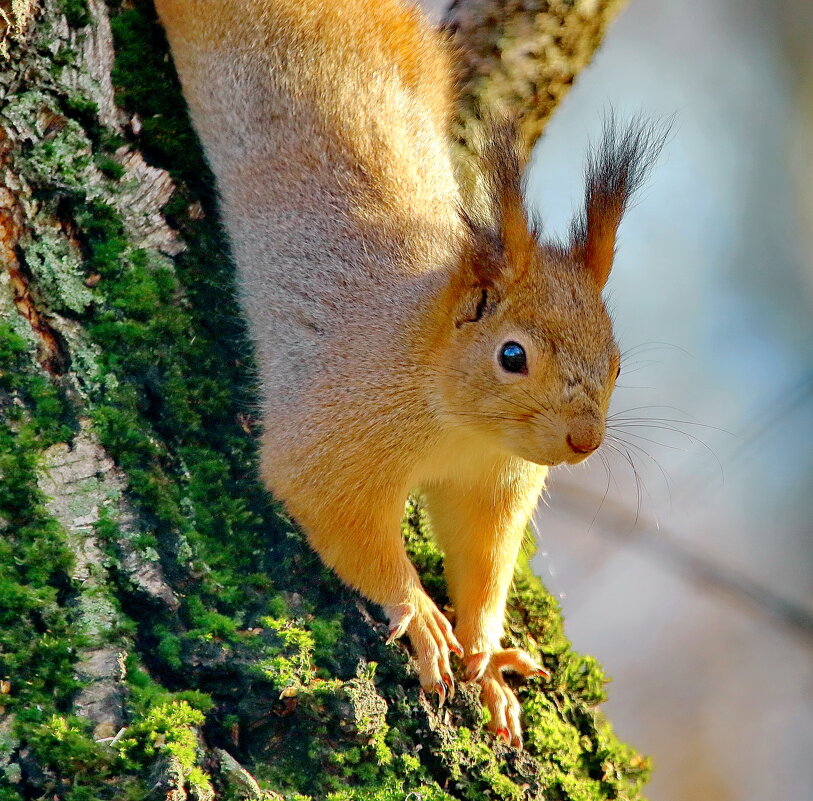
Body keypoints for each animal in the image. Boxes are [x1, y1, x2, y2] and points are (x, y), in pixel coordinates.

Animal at [155, 0, 664, 744]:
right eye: (512, 356)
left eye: (617, 361)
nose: (583, 441)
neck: (459, 424)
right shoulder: (342, 423)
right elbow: (330, 508)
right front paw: (421, 613)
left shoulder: (495, 484)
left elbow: (484, 557)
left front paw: (486, 649)